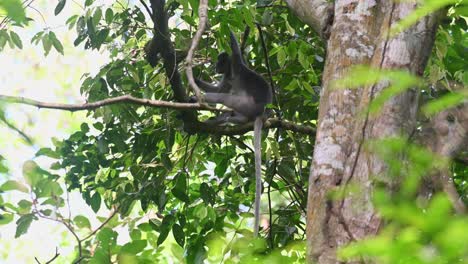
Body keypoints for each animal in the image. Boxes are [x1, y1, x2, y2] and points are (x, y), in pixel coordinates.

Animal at [193, 30, 272, 235]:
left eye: (220, 62)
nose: (215, 66)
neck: (230, 73)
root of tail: (261, 112)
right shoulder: (226, 79)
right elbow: (218, 88)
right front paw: (194, 79)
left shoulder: (236, 65)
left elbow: (236, 51)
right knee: (229, 110)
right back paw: (219, 120)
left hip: (246, 104)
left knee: (224, 98)